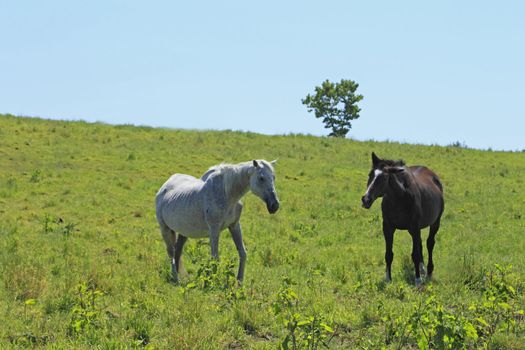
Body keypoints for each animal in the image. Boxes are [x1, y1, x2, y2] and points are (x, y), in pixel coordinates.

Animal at [362, 152, 444, 284]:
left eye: (383, 178)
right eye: (370, 175)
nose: (366, 200)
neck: (400, 198)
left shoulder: (414, 227)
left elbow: (415, 254)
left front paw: (417, 280)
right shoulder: (388, 227)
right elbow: (389, 254)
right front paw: (388, 279)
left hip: (435, 223)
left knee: (430, 243)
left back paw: (429, 271)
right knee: (420, 243)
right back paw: (422, 269)